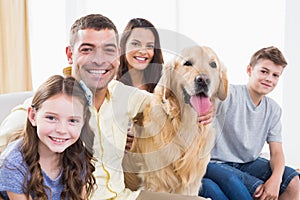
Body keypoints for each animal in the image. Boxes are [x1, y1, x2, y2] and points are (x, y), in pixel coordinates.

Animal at [122, 45, 227, 195]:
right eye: (187, 63)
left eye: (213, 64)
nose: (203, 80)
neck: (186, 123)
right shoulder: (157, 181)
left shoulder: (192, 185)